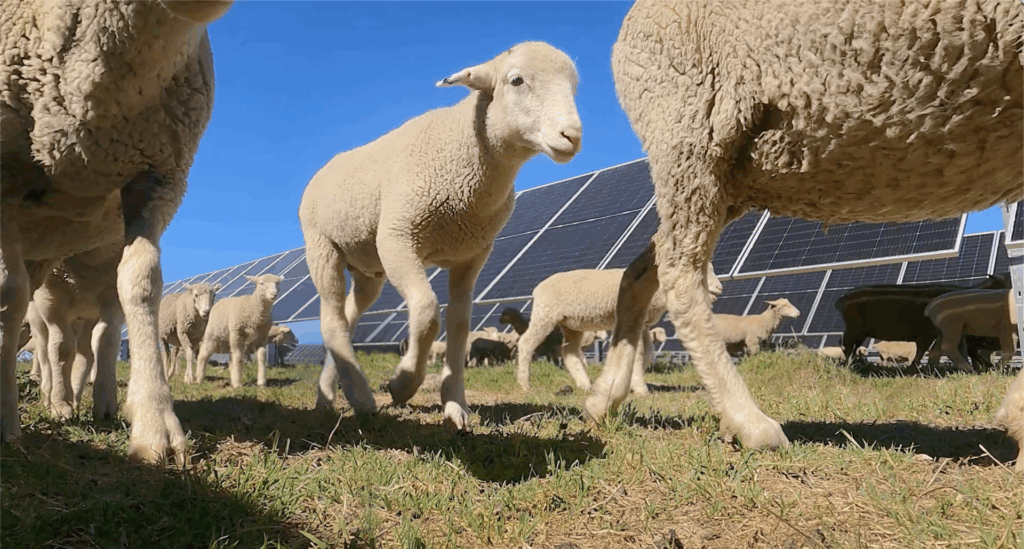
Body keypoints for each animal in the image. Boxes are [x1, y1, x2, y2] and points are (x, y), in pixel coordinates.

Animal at [298, 42, 582, 429]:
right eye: (516, 80)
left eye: (575, 87)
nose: (573, 136)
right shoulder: (397, 238)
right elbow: (427, 311)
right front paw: (402, 382)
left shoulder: (472, 255)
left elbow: (459, 325)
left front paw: (455, 405)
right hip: (322, 247)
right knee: (331, 319)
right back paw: (362, 396)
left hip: (368, 268)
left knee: (347, 318)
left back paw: (330, 397)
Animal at [835, 276, 1010, 368]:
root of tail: (842, 299)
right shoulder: (931, 334)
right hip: (853, 328)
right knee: (845, 345)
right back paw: (847, 366)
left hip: (860, 332)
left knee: (852, 347)